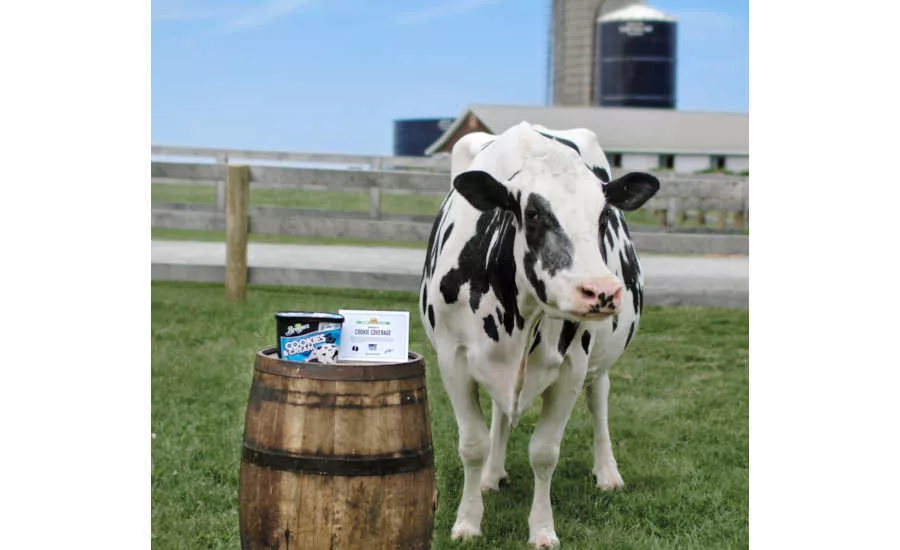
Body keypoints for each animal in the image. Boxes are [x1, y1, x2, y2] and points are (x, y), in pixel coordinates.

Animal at [419, 122, 659, 548]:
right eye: (532, 213)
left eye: (604, 215)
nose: (600, 291)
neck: (520, 314)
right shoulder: (453, 359)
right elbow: (472, 444)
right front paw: (468, 522)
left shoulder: (572, 366)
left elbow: (544, 452)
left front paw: (543, 529)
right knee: (500, 414)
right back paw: (491, 475)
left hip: (599, 358)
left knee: (599, 398)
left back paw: (607, 472)